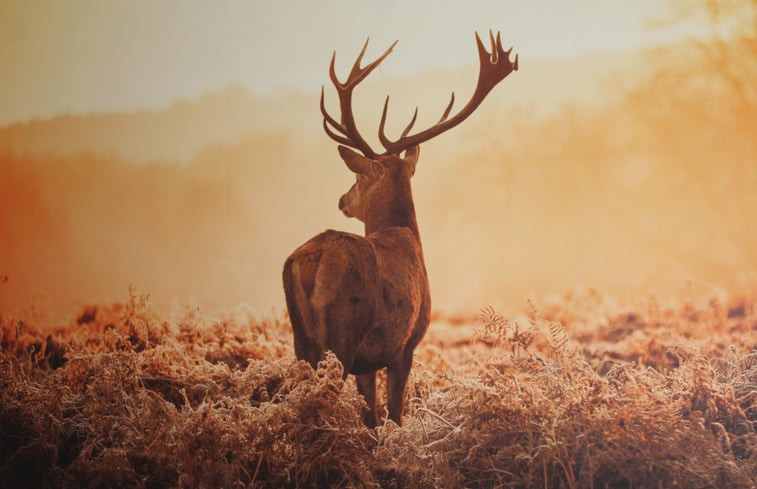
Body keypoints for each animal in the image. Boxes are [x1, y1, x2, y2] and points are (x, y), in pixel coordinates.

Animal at [280, 31, 516, 428]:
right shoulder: (405, 345)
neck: (406, 235)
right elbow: (394, 414)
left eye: (358, 177)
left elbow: (372, 417)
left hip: (303, 341)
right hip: (343, 335)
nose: (342, 200)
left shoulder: (370, 361)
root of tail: (311, 260)